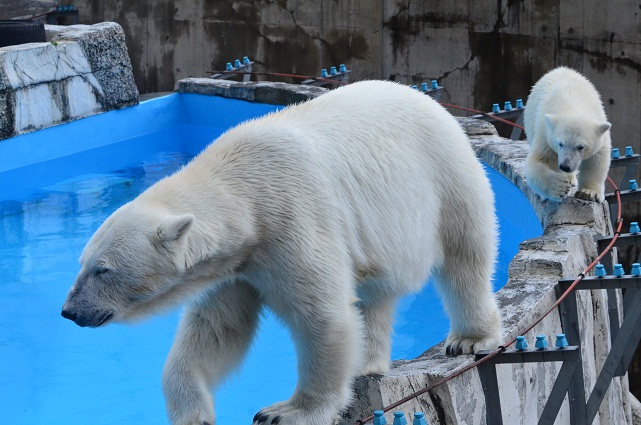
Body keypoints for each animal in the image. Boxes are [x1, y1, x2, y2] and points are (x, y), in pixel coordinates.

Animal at [61, 80, 500, 424]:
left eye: (102, 269)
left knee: (466, 256)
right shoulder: (237, 264)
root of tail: (428, 100)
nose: (69, 311)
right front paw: (194, 413)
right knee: (373, 297)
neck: (241, 187)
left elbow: (322, 315)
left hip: (445, 175)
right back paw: (364, 361)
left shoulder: (290, 217)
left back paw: (469, 338)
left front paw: (287, 411)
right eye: (82, 263)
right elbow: (218, 329)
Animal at [524, 66, 608, 202]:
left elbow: (597, 158)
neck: (573, 104)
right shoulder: (546, 131)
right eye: (560, 144)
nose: (565, 166)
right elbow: (539, 160)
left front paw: (589, 193)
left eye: (580, 147)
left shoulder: (600, 126)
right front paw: (560, 188)